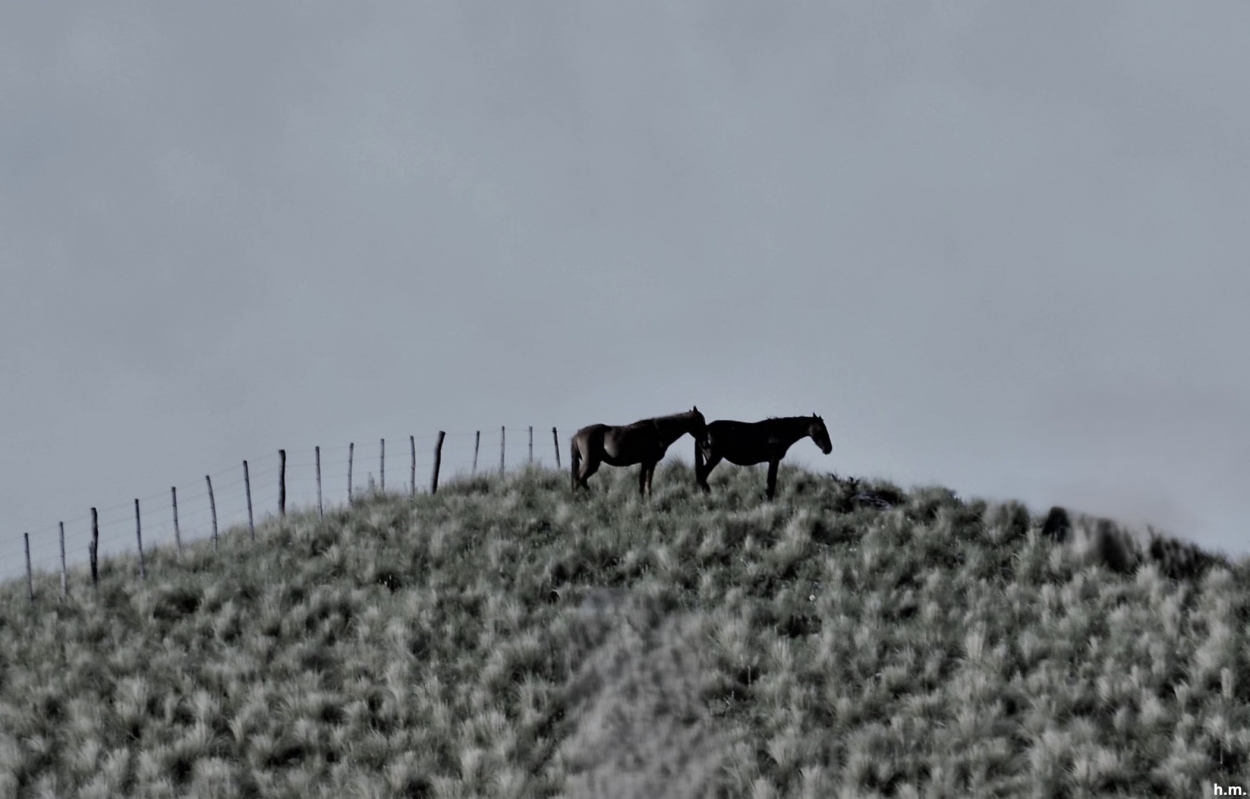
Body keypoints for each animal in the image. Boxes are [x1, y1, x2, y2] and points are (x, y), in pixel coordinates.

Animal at [572, 410, 710, 497]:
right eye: (700, 421)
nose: (706, 442)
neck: (657, 431)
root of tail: (578, 434)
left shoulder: (648, 463)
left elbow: (645, 481)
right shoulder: (649, 461)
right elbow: (645, 480)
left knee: (582, 480)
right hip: (591, 463)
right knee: (579, 479)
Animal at [700, 412, 835, 500]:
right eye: (821, 429)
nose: (828, 448)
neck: (779, 432)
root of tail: (705, 429)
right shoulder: (774, 459)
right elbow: (771, 483)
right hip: (714, 457)